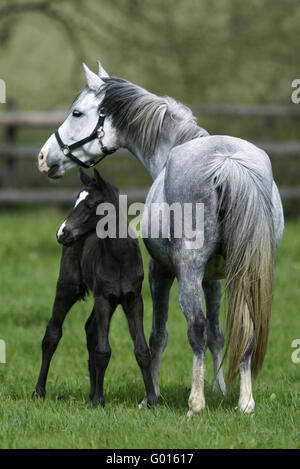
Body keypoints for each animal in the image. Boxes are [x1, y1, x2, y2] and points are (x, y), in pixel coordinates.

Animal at [34, 167, 157, 406]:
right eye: (74, 201)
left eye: (90, 205)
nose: (62, 233)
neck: (120, 258)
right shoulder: (103, 298)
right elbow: (103, 351)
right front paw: (99, 402)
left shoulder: (133, 299)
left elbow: (142, 350)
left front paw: (152, 401)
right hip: (68, 286)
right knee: (52, 334)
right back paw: (39, 391)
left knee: (90, 330)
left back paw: (91, 391)